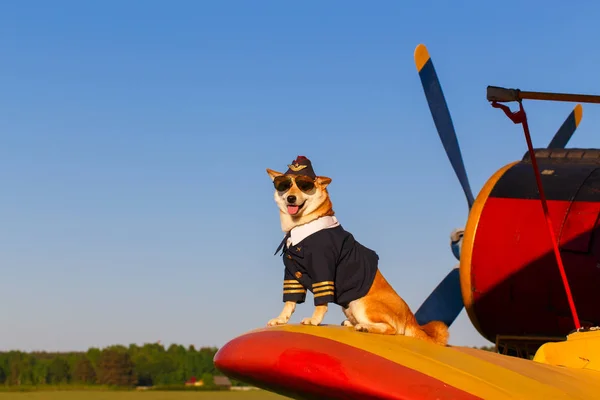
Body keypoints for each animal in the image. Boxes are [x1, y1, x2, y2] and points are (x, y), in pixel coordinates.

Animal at [264, 155, 448, 346]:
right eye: (284, 185)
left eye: (304, 185)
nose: (291, 198)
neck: (302, 228)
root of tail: (411, 319)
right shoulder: (292, 273)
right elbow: (290, 301)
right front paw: (281, 319)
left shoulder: (323, 271)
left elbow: (321, 303)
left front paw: (314, 320)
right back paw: (353, 324)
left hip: (361, 304)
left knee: (391, 329)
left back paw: (364, 327)